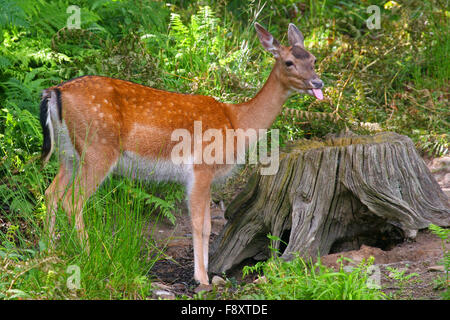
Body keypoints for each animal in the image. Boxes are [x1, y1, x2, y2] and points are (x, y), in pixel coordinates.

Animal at [39, 23, 324, 286]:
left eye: (313, 59)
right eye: (288, 62)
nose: (318, 82)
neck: (236, 122)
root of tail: (54, 91)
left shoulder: (209, 178)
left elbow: (208, 225)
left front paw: (207, 273)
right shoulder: (201, 168)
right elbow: (200, 225)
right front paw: (202, 278)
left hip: (68, 154)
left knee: (51, 193)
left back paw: (50, 250)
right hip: (98, 149)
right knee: (72, 200)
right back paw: (88, 254)